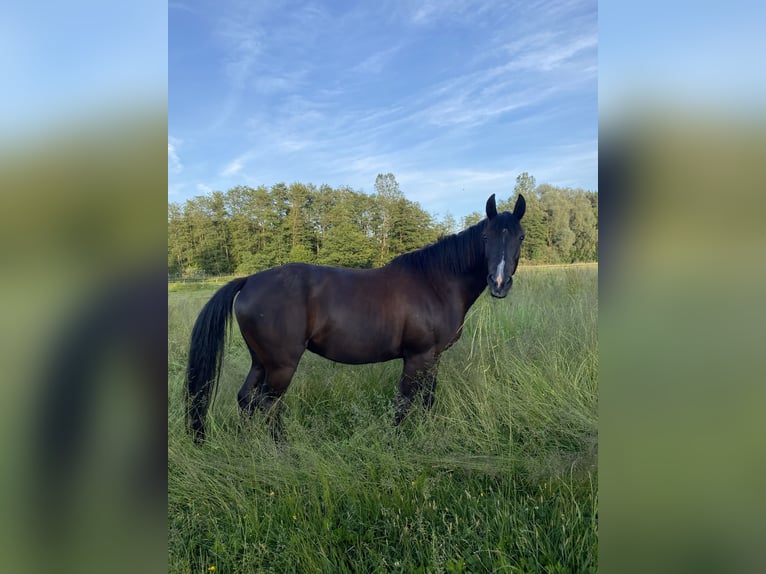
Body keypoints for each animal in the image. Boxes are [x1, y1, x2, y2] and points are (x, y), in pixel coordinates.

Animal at [185, 193, 526, 443]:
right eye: (486, 237)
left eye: (520, 237)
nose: (499, 283)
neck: (434, 282)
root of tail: (249, 280)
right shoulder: (418, 357)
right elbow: (404, 404)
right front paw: (396, 442)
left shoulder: (434, 357)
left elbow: (428, 400)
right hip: (281, 365)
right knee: (269, 405)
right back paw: (281, 449)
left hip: (261, 361)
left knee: (246, 399)